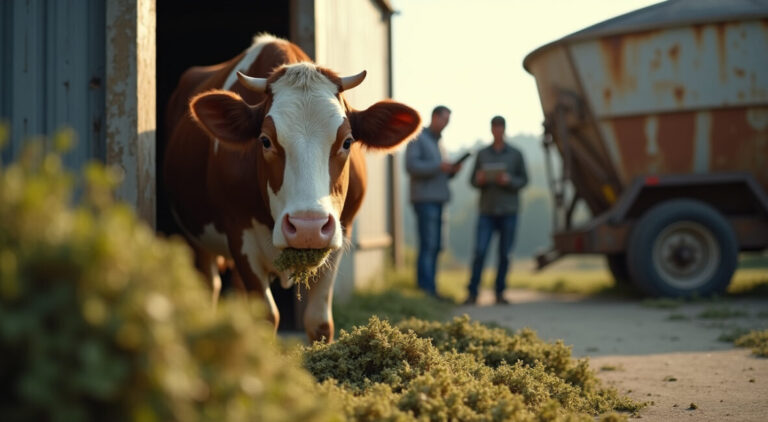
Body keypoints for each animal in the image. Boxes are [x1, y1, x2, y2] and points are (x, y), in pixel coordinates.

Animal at [163, 34, 421, 343]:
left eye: (347, 141)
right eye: (264, 140)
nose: (308, 227)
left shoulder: (339, 235)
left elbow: (319, 322)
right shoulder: (240, 234)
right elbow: (266, 317)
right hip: (198, 240)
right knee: (210, 284)